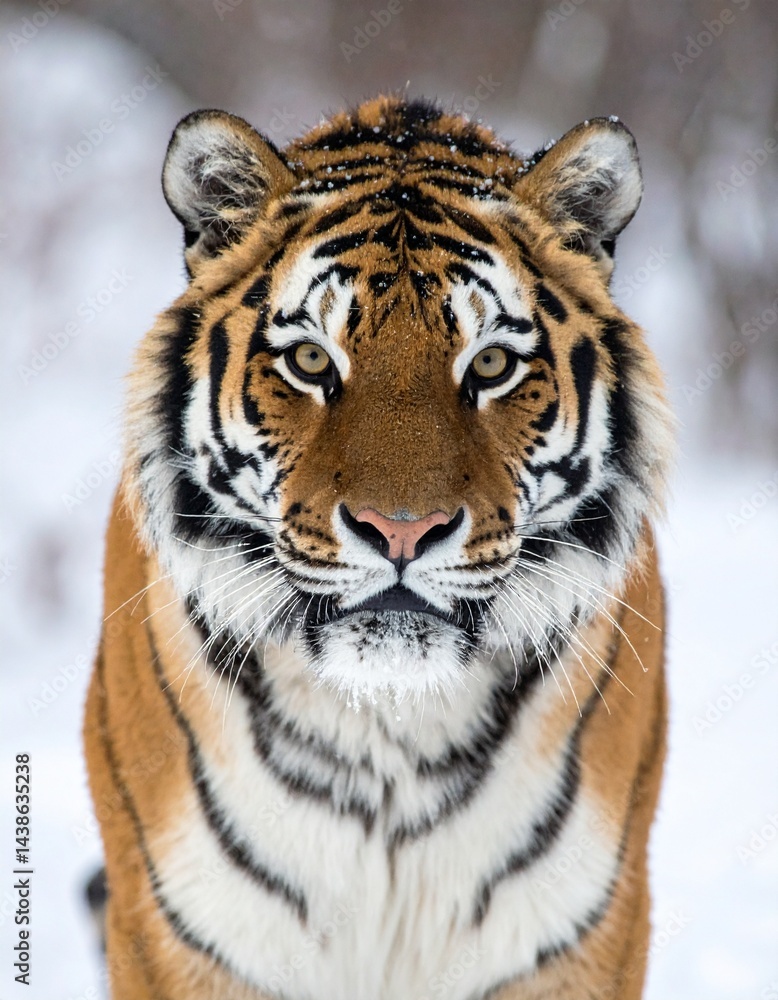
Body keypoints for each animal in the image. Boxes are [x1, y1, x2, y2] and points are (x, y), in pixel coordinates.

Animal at [84, 95, 674, 1000]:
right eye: (309, 360)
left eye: (491, 364)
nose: (401, 530)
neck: (389, 733)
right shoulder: (181, 936)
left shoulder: (576, 938)